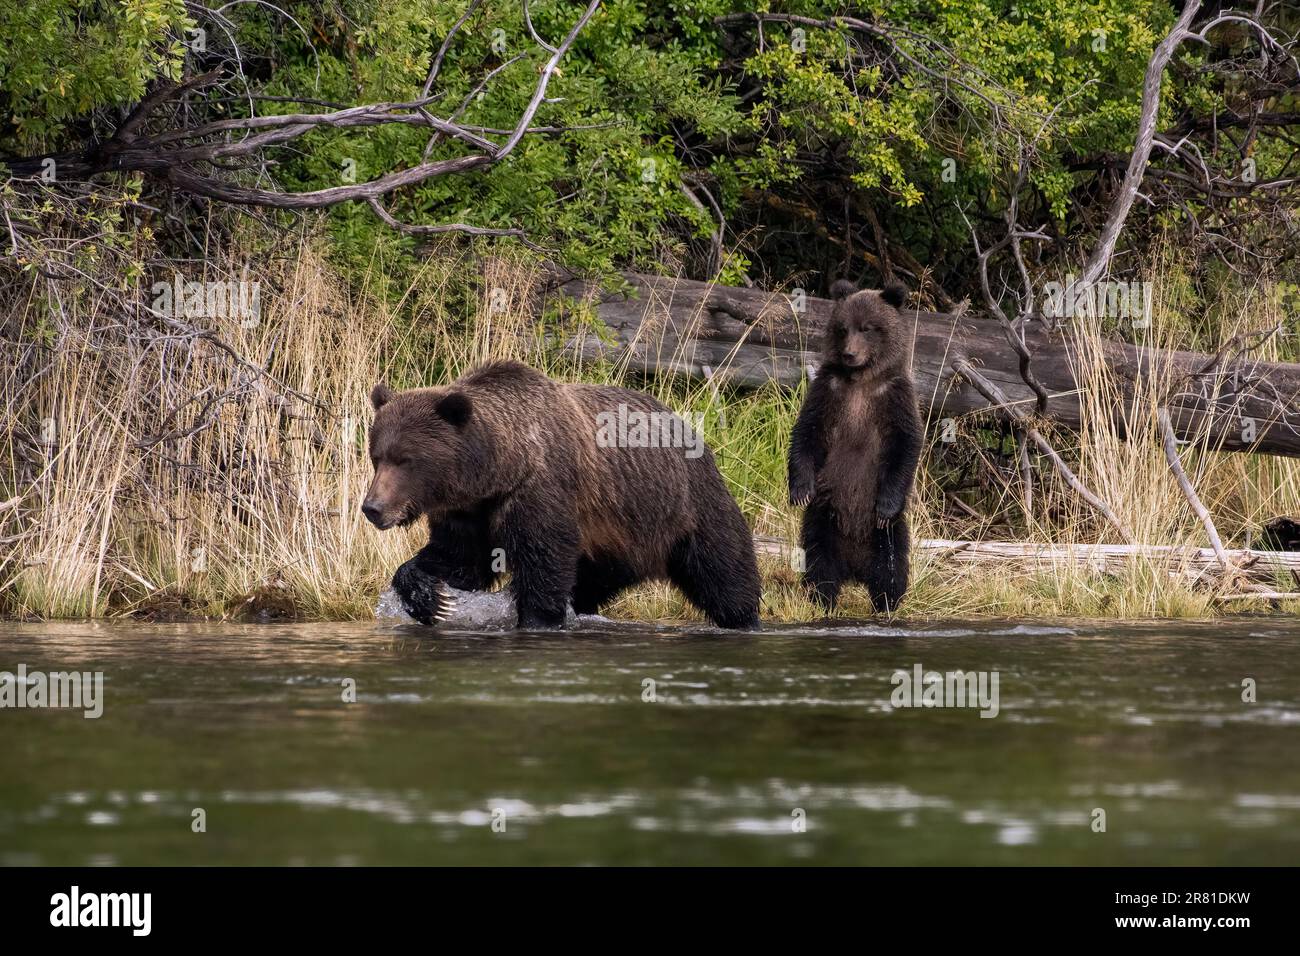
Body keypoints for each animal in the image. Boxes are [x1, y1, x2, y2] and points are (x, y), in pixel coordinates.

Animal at [361, 361, 759, 632]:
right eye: (377, 456)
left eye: (406, 459)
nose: (372, 508)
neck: (499, 470)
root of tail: (687, 425)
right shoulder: (469, 513)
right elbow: (459, 560)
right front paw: (431, 598)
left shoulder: (540, 493)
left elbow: (543, 565)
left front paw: (536, 620)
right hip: (616, 540)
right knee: (593, 582)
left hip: (686, 503)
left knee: (723, 566)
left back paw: (744, 619)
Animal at [790, 282, 925, 613]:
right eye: (842, 328)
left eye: (867, 328)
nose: (850, 353)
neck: (862, 379)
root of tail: (853, 569)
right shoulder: (828, 391)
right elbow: (807, 432)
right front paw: (800, 490)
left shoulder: (895, 396)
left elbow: (906, 443)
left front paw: (886, 505)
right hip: (822, 519)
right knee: (818, 561)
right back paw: (822, 599)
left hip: (885, 535)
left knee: (892, 566)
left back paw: (886, 603)